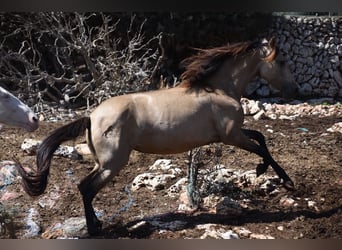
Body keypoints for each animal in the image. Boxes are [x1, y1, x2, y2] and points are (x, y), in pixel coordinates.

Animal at [17, 37, 298, 234]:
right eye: (282, 61)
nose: (293, 90)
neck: (219, 88)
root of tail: (92, 117)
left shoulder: (232, 134)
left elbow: (260, 137)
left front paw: (271, 174)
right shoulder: (232, 135)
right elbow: (261, 146)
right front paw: (281, 179)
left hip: (103, 163)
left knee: (85, 187)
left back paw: (96, 224)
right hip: (112, 163)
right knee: (87, 188)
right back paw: (95, 228)